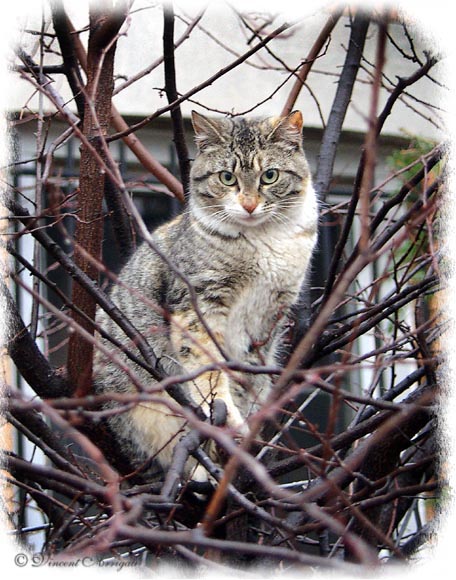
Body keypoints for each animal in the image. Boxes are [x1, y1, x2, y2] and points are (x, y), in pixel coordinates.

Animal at [93, 110, 318, 480]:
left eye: (269, 176)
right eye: (227, 177)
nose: (249, 204)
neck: (263, 243)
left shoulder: (266, 320)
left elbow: (245, 378)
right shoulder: (198, 303)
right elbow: (208, 370)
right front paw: (228, 423)